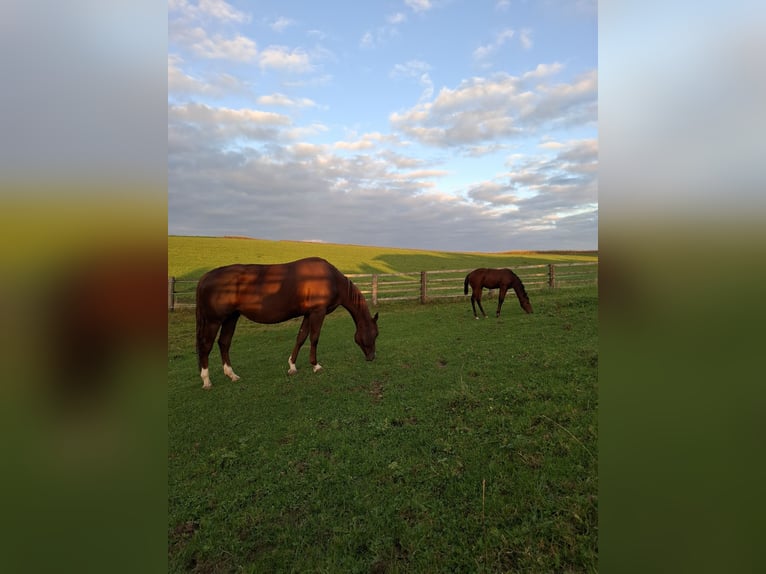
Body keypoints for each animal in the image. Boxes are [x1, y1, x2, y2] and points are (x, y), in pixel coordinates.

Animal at [195, 257, 379, 389]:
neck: (330, 278)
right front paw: (316, 365)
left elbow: (301, 337)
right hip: (213, 320)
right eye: (375, 334)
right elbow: (314, 338)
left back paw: (231, 375)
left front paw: (292, 366)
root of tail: (205, 278)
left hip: (231, 318)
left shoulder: (308, 313)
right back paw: (206, 381)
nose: (372, 357)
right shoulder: (317, 312)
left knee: (224, 343)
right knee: (206, 346)